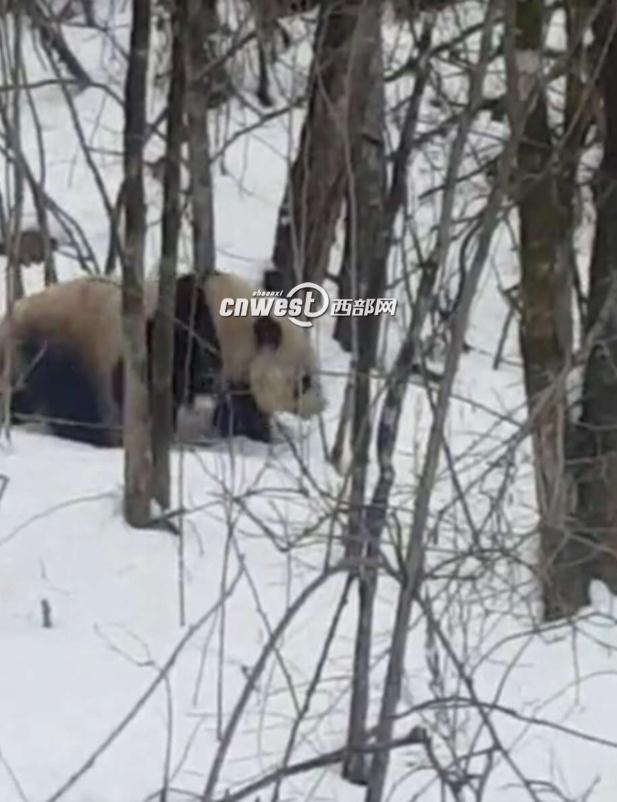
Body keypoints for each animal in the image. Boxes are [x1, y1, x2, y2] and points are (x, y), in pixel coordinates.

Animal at [0, 271, 324, 447]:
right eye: (304, 381)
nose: (320, 407)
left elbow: (242, 405)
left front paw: (256, 436)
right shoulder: (182, 333)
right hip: (56, 347)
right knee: (70, 403)